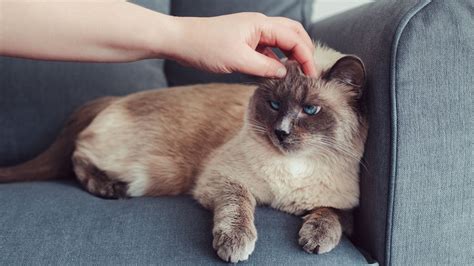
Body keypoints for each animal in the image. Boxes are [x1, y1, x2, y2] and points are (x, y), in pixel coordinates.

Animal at [0, 44, 366, 264]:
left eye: (310, 109)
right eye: (274, 105)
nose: (281, 132)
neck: (293, 168)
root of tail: (116, 98)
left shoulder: (345, 205)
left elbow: (332, 215)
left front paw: (315, 241)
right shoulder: (223, 180)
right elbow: (238, 208)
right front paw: (234, 247)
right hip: (154, 175)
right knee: (79, 156)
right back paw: (109, 190)